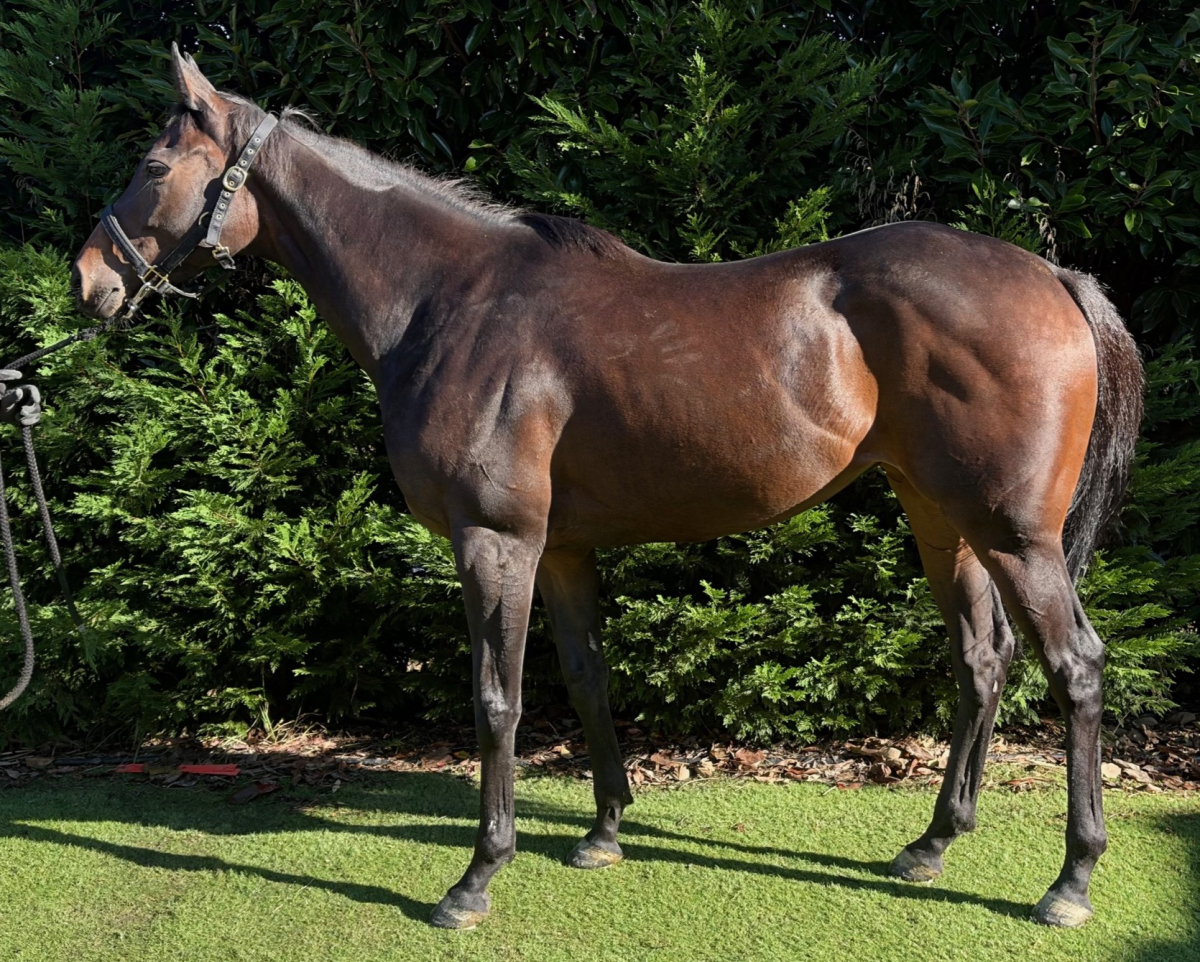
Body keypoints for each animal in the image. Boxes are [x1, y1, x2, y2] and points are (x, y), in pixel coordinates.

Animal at [72, 46, 1142, 931]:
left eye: (156, 169)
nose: (89, 282)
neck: (447, 302)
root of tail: (1053, 275)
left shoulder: (494, 540)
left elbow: (496, 700)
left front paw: (476, 878)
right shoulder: (561, 550)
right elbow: (586, 679)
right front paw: (603, 832)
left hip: (1016, 535)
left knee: (1077, 667)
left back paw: (1070, 881)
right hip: (941, 518)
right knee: (983, 660)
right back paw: (932, 842)